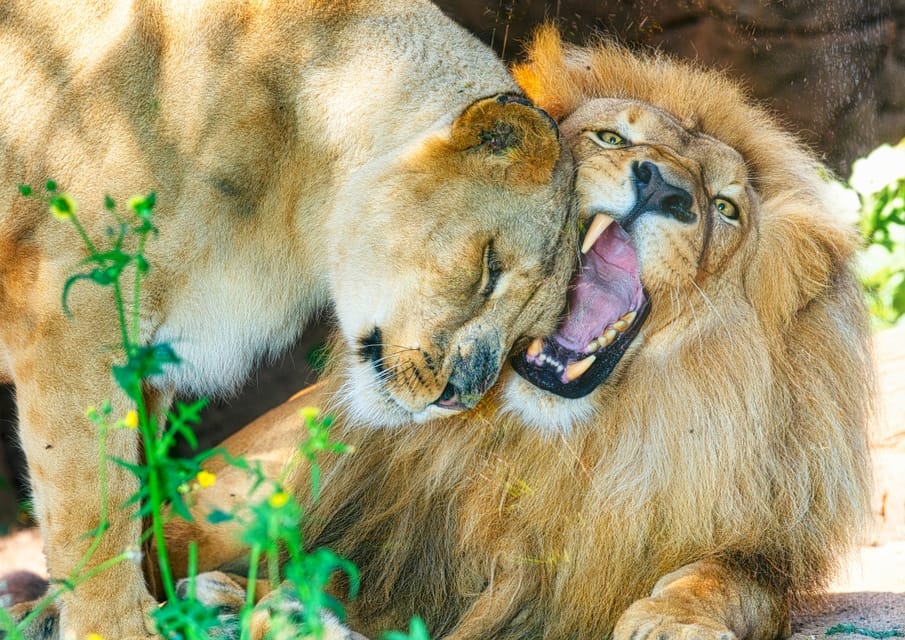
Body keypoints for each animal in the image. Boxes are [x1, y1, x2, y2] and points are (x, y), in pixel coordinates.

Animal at [161, 26, 868, 640]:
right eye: (611, 138)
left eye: (725, 207)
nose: (662, 186)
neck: (557, 442)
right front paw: (287, 612)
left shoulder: (745, 542)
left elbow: (731, 580)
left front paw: (676, 620)